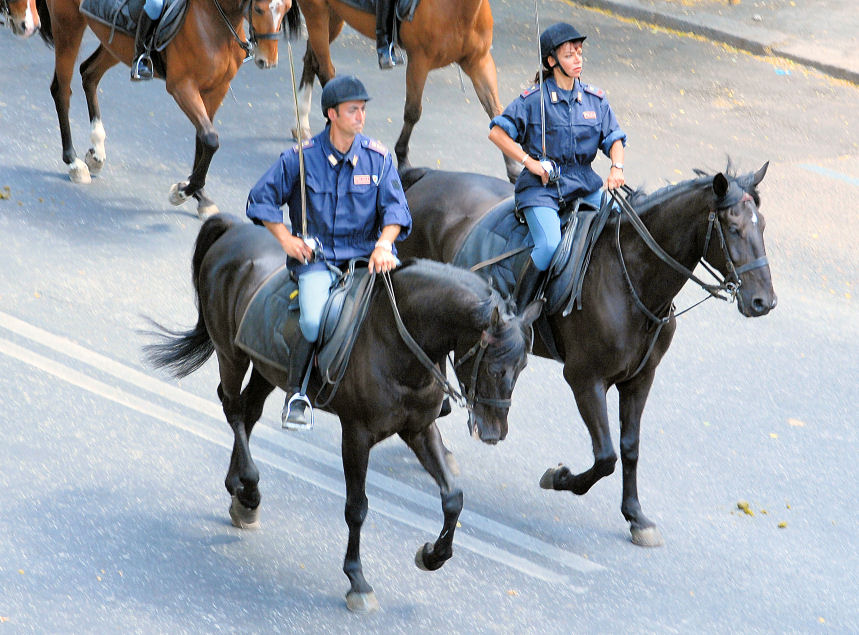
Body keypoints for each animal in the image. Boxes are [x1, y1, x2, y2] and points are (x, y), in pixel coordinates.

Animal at [34, 0, 302, 219]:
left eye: (287, 8)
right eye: (259, 9)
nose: (267, 61)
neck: (215, 21)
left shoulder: (216, 89)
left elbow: (203, 139)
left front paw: (201, 197)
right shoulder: (182, 86)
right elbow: (210, 139)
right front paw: (183, 192)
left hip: (116, 45)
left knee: (89, 74)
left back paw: (96, 151)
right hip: (68, 26)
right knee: (62, 90)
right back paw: (74, 163)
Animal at [144, 216, 540, 612]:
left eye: (522, 366)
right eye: (493, 367)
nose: (493, 432)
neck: (397, 339)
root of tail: (234, 229)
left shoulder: (418, 429)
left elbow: (453, 498)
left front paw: (432, 555)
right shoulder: (356, 434)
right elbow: (357, 507)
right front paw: (357, 580)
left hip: (266, 366)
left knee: (249, 409)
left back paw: (239, 492)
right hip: (231, 353)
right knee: (232, 407)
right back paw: (250, 489)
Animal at [292, 0, 520, 181]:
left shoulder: (479, 62)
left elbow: (496, 111)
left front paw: (513, 168)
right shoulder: (419, 61)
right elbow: (412, 112)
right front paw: (402, 160)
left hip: (333, 16)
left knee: (311, 60)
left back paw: (303, 126)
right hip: (316, 13)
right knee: (325, 70)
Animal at [398, 163, 780, 548]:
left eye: (762, 225)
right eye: (733, 228)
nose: (763, 302)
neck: (630, 281)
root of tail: (429, 177)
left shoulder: (640, 379)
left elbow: (629, 447)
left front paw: (636, 517)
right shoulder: (585, 379)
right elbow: (606, 456)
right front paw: (558, 476)